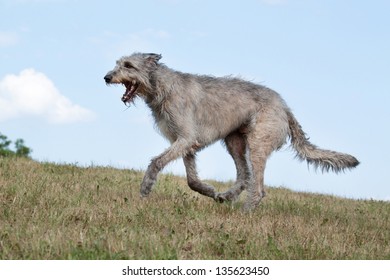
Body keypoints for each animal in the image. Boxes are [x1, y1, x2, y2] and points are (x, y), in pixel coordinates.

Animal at [104, 52, 360, 210]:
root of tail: (285, 107)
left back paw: (244, 211)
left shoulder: (185, 138)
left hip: (257, 143)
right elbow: (191, 180)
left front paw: (146, 187)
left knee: (258, 187)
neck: (162, 86)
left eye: (128, 65)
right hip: (234, 141)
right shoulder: (186, 143)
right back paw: (227, 196)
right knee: (245, 176)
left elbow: (156, 161)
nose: (106, 77)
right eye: (117, 63)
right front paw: (208, 190)